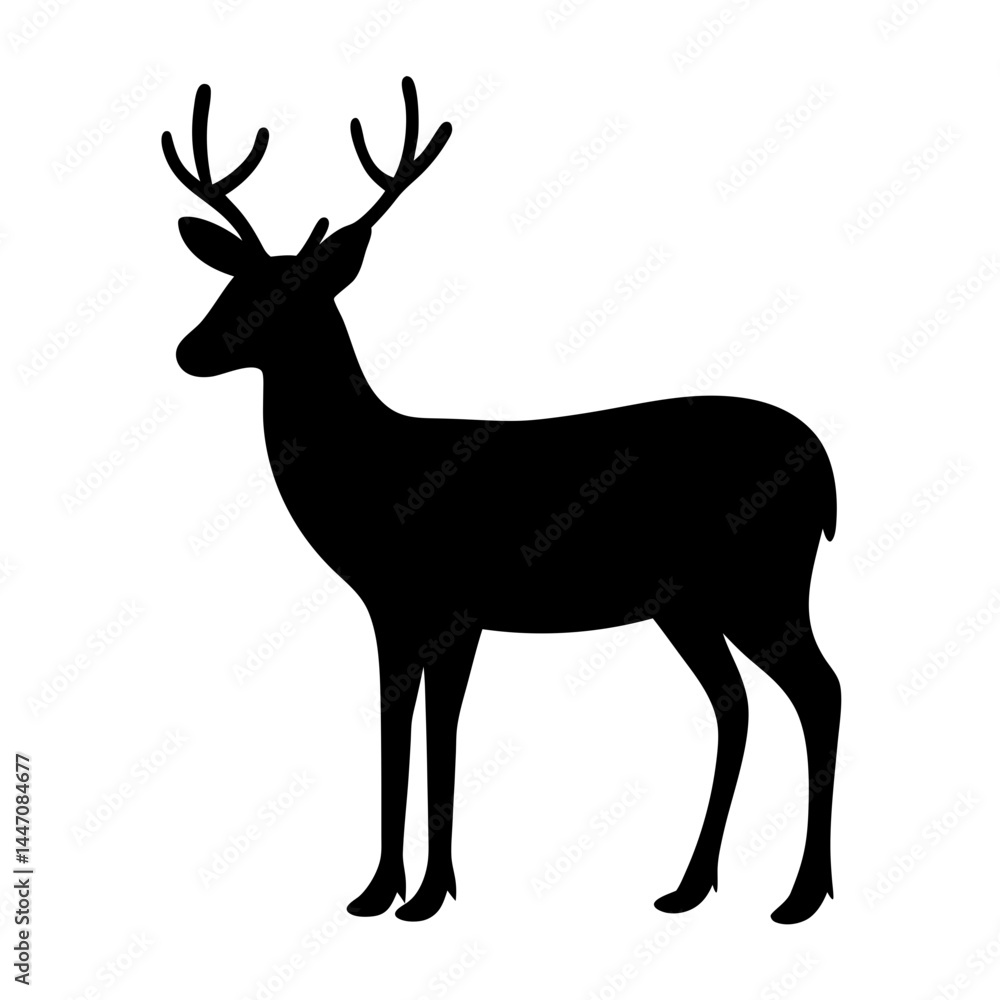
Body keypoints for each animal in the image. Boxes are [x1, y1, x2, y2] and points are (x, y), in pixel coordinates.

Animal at [163, 77, 841, 924]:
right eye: (230, 283)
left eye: (290, 294)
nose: (188, 350)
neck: (373, 476)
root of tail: (827, 471)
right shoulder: (398, 611)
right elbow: (402, 730)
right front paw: (382, 891)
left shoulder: (447, 601)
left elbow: (438, 735)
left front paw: (423, 896)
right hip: (686, 600)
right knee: (736, 703)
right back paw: (690, 886)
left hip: (763, 577)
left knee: (820, 690)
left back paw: (804, 894)